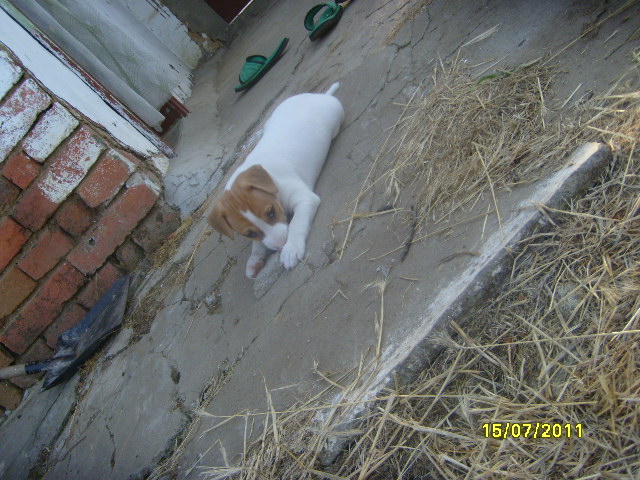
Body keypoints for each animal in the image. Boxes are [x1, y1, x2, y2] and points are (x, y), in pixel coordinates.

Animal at [208, 83, 344, 278]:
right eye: (249, 233)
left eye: (271, 213)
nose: (281, 245)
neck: (272, 181)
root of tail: (320, 96)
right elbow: (258, 244)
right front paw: (255, 258)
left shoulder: (305, 199)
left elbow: (296, 223)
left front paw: (291, 249)